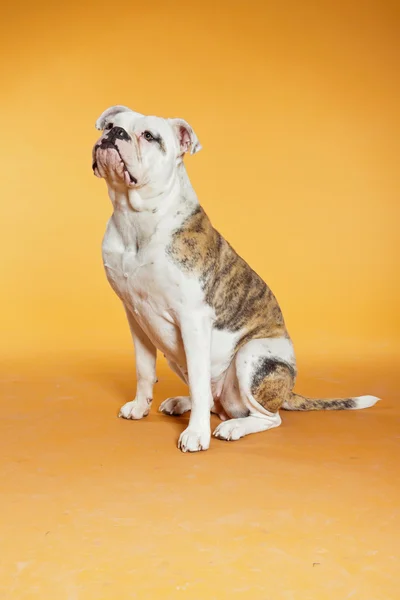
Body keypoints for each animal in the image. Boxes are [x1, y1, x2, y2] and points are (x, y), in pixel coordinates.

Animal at [92, 104, 380, 450]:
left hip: (251, 356)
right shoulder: (136, 317)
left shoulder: (193, 318)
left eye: (149, 136)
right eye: (110, 124)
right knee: (211, 400)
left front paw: (196, 434)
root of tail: (287, 392)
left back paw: (234, 427)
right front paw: (139, 406)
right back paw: (183, 403)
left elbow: (199, 380)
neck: (135, 218)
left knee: (266, 417)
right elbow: (144, 368)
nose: (115, 133)